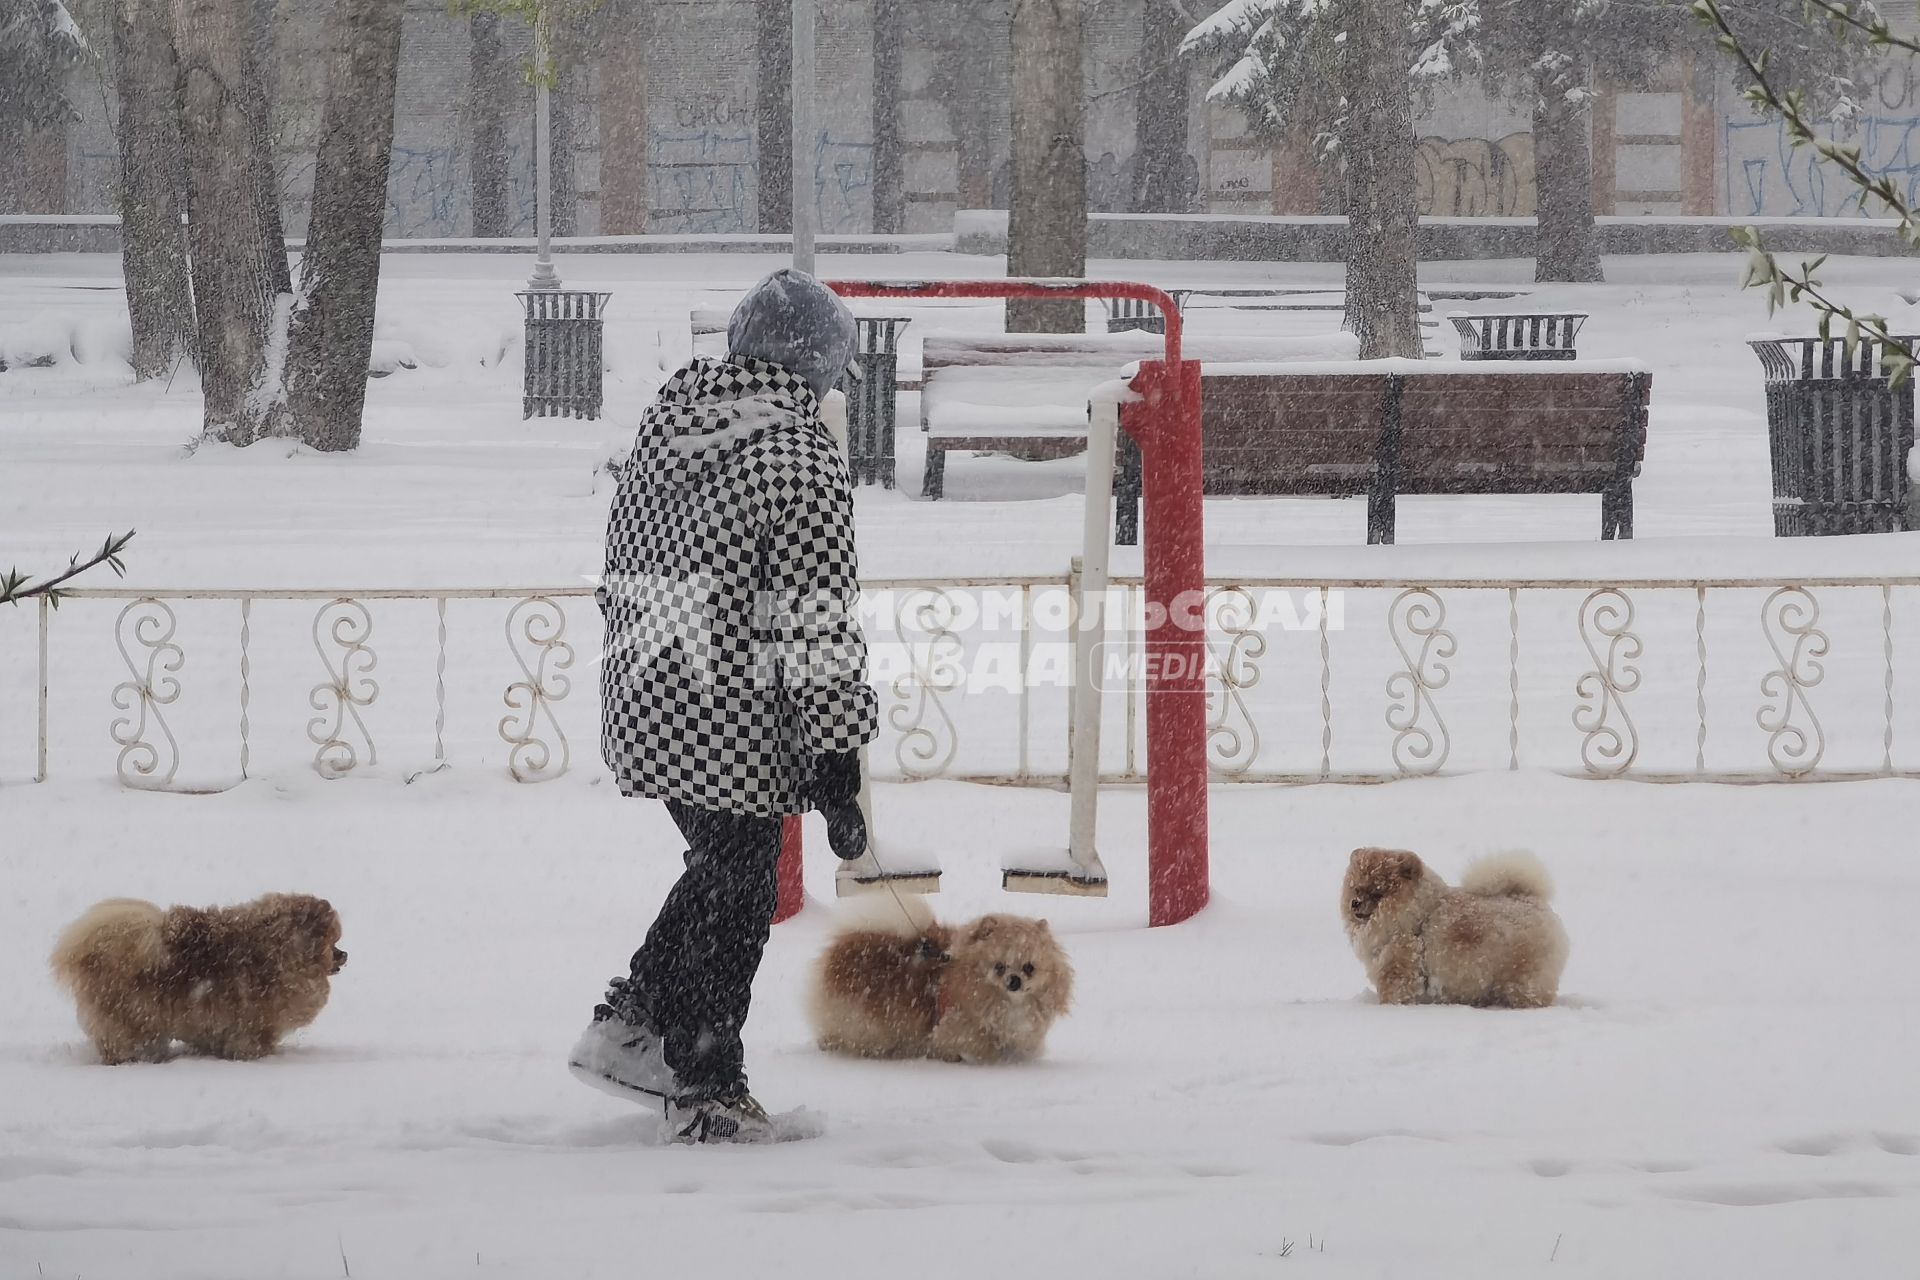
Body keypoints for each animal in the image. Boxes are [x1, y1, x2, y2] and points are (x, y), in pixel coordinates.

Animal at [50, 898, 347, 1066]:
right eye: (332, 942)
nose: (344, 954)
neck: (278, 950)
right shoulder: (253, 1027)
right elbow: (252, 1045)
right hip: (129, 1019)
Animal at [806, 898, 1075, 1066]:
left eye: (1029, 967)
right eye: (999, 967)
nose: (1014, 980)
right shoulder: (961, 1030)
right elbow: (979, 1048)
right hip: (860, 1018)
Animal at [1344, 852, 1566, 1013]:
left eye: (1377, 892)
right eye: (1356, 889)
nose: (1355, 903)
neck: (1416, 917)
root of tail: (1531, 899)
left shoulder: (1400, 968)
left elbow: (1393, 993)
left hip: (1524, 978)